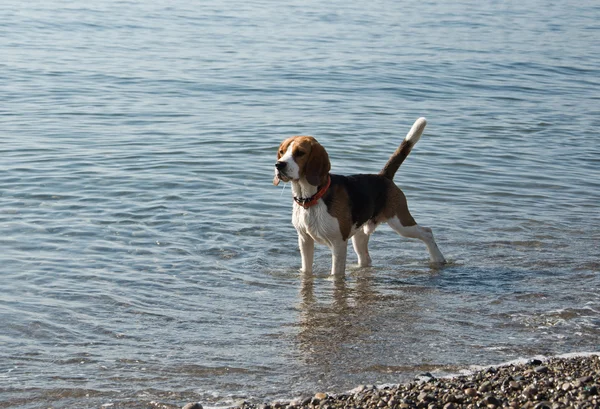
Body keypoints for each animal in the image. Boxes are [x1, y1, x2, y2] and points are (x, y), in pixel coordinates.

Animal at [274, 118, 446, 276]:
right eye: (282, 152)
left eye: (300, 153)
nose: (279, 165)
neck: (311, 198)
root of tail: (383, 176)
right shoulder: (304, 240)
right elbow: (306, 270)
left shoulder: (338, 243)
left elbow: (336, 274)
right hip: (359, 237)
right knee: (366, 259)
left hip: (400, 223)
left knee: (427, 232)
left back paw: (438, 259)